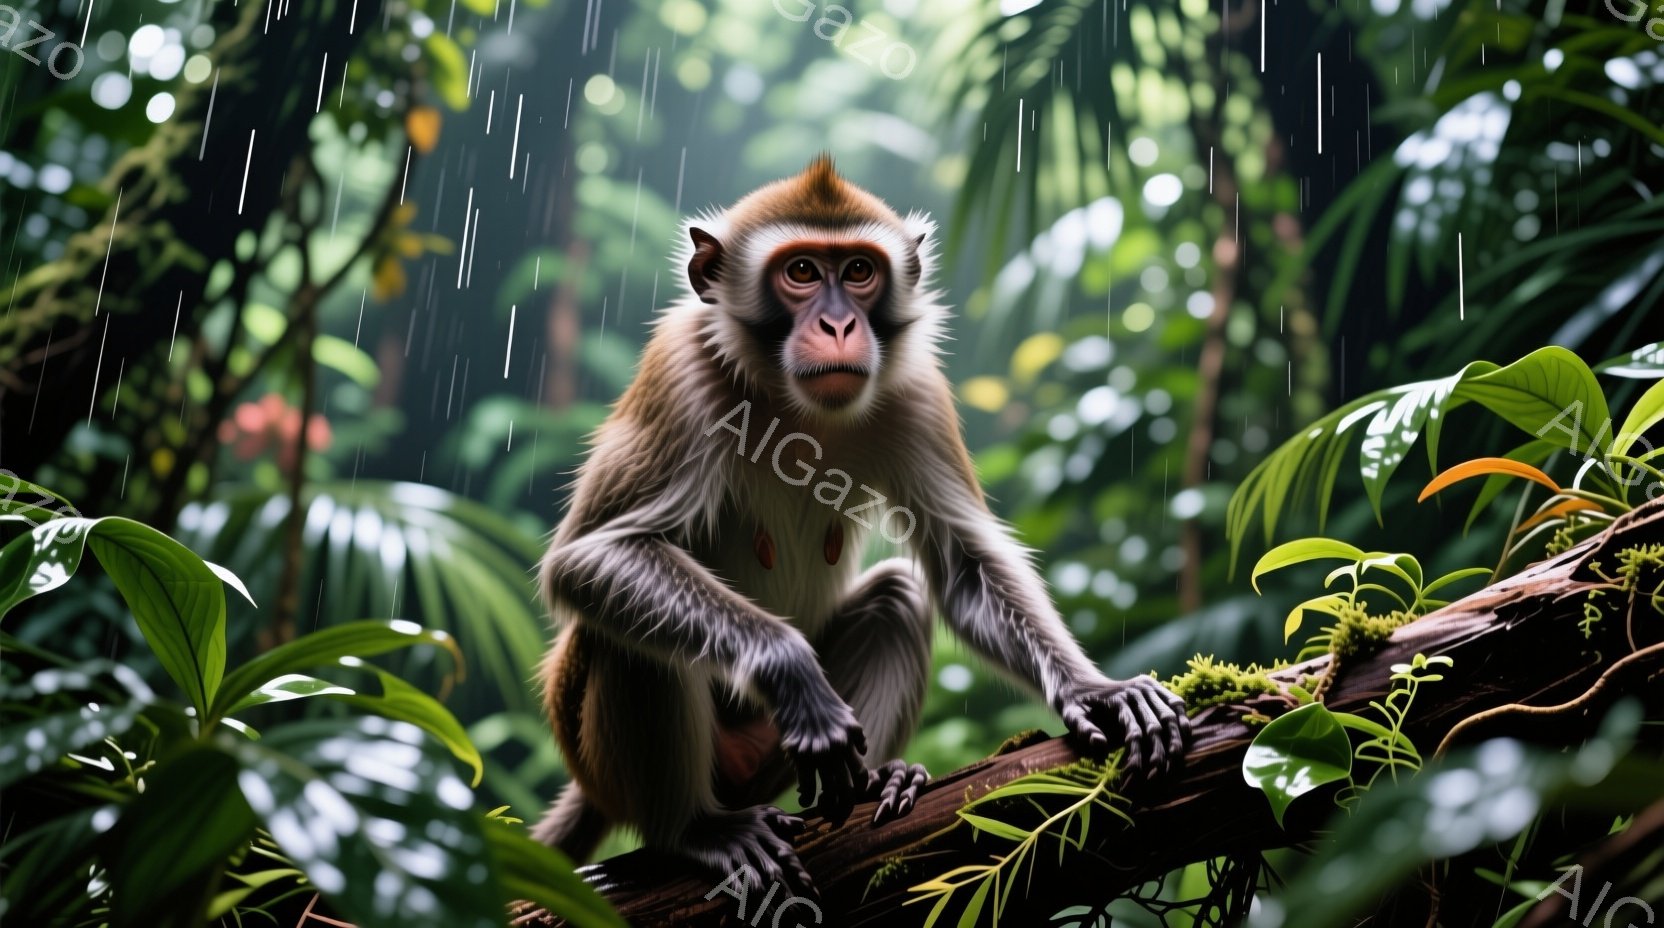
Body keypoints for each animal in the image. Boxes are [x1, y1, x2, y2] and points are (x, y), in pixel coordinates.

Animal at [532, 155, 1189, 893]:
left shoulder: (916, 390)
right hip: (605, 752)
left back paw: (877, 778)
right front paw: (789, 667)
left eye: (857, 271)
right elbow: (592, 557)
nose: (840, 326)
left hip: (768, 758)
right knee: (624, 640)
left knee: (896, 598)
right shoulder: (680, 373)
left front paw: (1094, 690)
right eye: (800, 272)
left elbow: (962, 566)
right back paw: (694, 831)